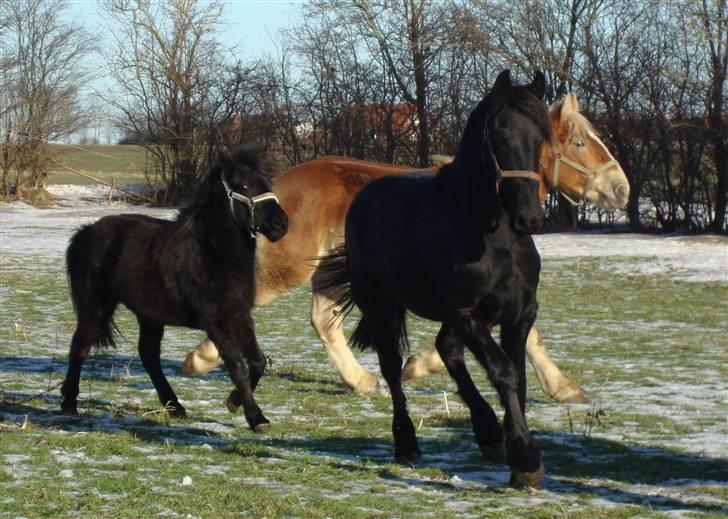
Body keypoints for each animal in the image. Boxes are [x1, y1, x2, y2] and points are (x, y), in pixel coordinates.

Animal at [61, 145, 288, 430]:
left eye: (267, 182)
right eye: (243, 185)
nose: (281, 224)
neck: (211, 254)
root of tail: (88, 231)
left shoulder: (239, 317)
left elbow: (257, 362)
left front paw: (234, 402)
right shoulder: (215, 322)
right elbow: (238, 366)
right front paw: (256, 417)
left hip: (149, 315)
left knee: (148, 355)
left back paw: (175, 406)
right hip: (95, 309)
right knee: (79, 347)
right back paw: (69, 403)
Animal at [181, 93, 624, 402]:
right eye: (580, 142)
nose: (621, 187)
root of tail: (273, 192)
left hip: (325, 270)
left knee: (324, 322)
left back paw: (361, 381)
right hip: (289, 266)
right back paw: (201, 359)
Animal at [324, 71, 552, 490]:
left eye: (542, 136)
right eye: (500, 133)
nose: (530, 217)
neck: (493, 237)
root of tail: (364, 198)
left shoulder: (520, 314)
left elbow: (519, 377)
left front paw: (516, 455)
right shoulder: (467, 312)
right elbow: (504, 372)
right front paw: (526, 459)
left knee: (446, 349)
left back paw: (486, 433)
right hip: (380, 306)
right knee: (392, 367)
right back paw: (407, 444)